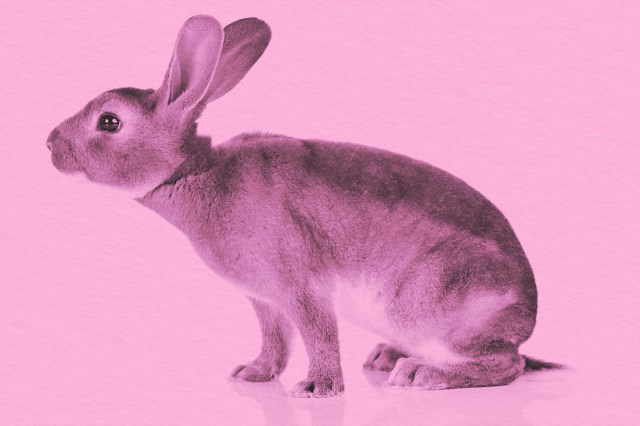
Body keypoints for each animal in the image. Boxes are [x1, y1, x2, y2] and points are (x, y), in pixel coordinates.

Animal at [47, 15, 559, 398]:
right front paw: (253, 373)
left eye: (109, 122)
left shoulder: (301, 285)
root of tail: (525, 316)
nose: (50, 144)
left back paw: (419, 373)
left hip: (433, 303)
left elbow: (318, 335)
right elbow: (275, 339)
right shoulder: (265, 299)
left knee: (507, 364)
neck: (193, 173)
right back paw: (387, 357)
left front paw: (318, 388)